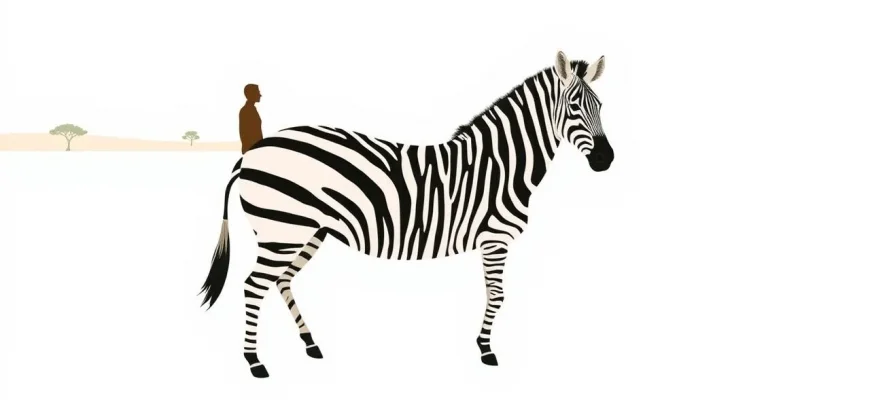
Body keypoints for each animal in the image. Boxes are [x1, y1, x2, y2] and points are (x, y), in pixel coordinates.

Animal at [199, 50, 614, 378]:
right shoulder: (495, 238)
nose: (606, 160)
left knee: (281, 281)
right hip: (281, 230)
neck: (500, 165)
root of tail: (251, 154)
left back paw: (310, 344)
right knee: (254, 285)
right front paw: (485, 349)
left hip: (306, 232)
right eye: (574, 108)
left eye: (601, 107)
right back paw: (255, 363)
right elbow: (497, 295)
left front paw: (482, 346)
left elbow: (495, 294)